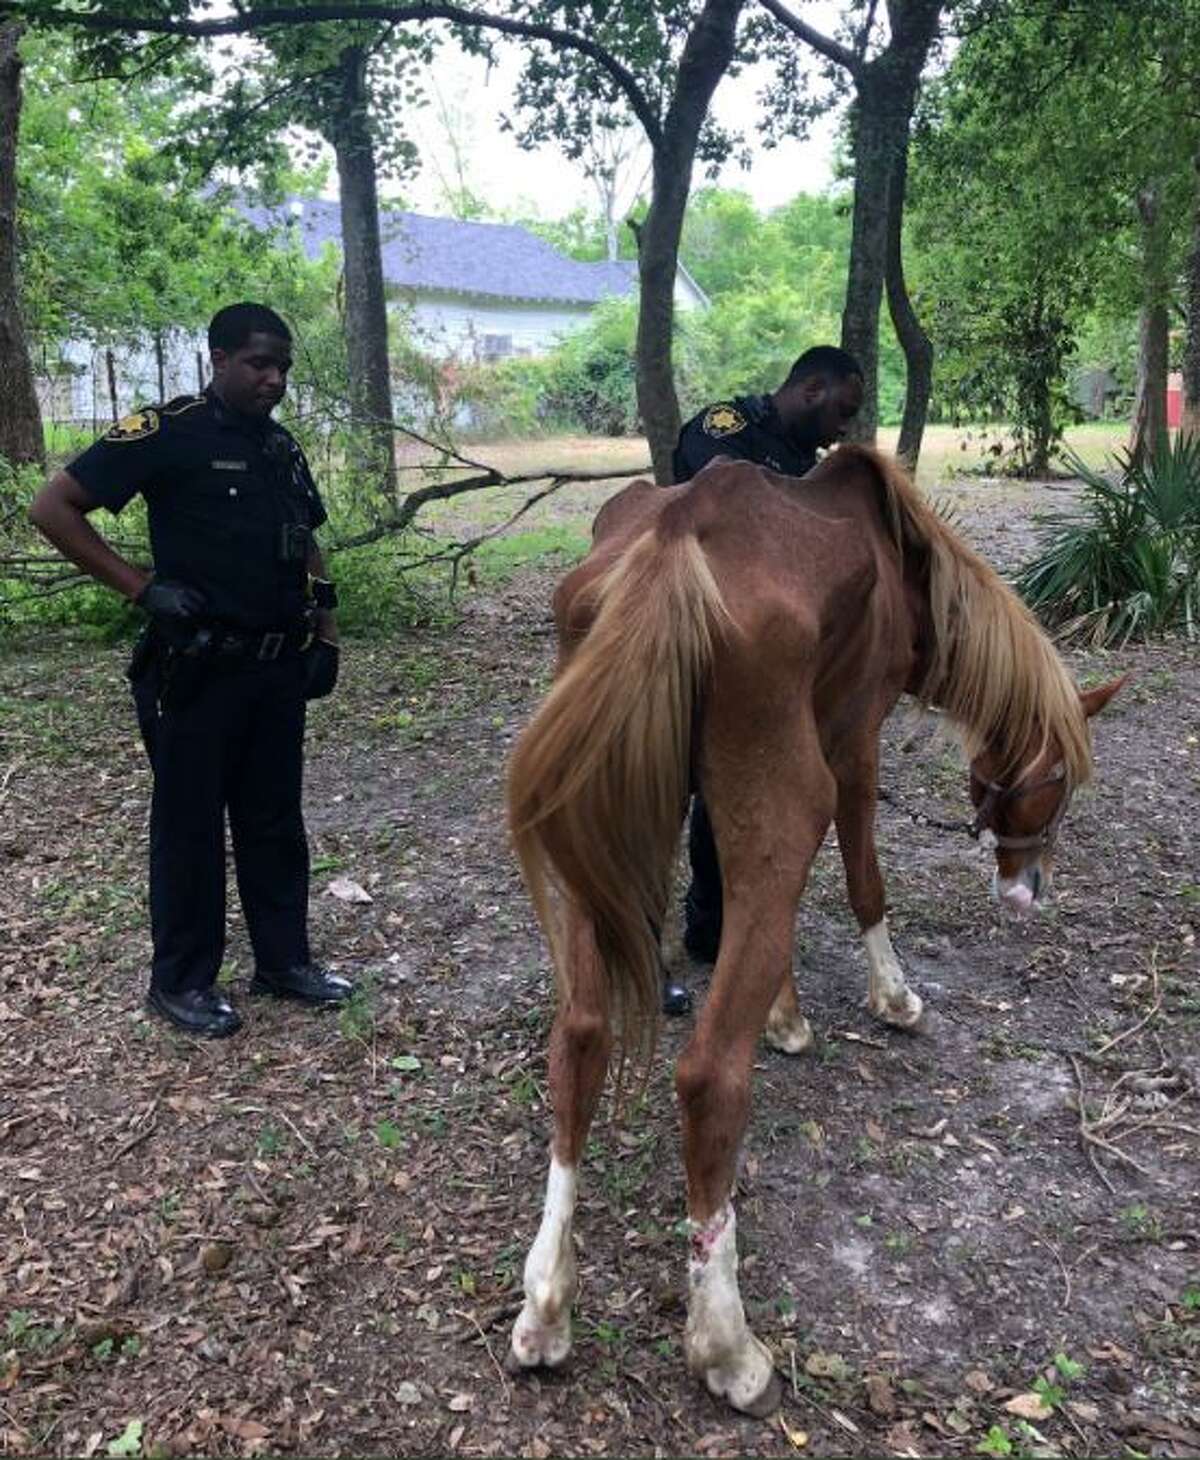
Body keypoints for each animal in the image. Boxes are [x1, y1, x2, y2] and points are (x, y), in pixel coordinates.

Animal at [504, 445, 1122, 1417]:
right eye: (1057, 780)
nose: (1029, 891)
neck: (904, 566)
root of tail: (675, 540)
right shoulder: (853, 744)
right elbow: (865, 878)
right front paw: (892, 997)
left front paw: (787, 1013)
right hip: (782, 800)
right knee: (709, 1078)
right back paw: (726, 1345)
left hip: (599, 835)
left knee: (580, 1039)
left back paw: (546, 1304)